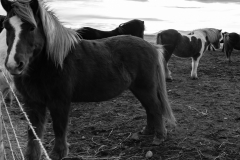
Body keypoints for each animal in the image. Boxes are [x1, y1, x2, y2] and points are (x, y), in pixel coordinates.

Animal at [0, 0, 175, 159]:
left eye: (32, 27)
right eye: (7, 26)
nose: (13, 65)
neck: (53, 62)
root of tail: (152, 47)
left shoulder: (60, 101)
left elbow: (59, 128)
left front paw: (59, 153)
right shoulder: (33, 102)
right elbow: (34, 133)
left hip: (146, 87)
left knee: (155, 108)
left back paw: (159, 137)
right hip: (138, 88)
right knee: (149, 108)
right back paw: (148, 131)